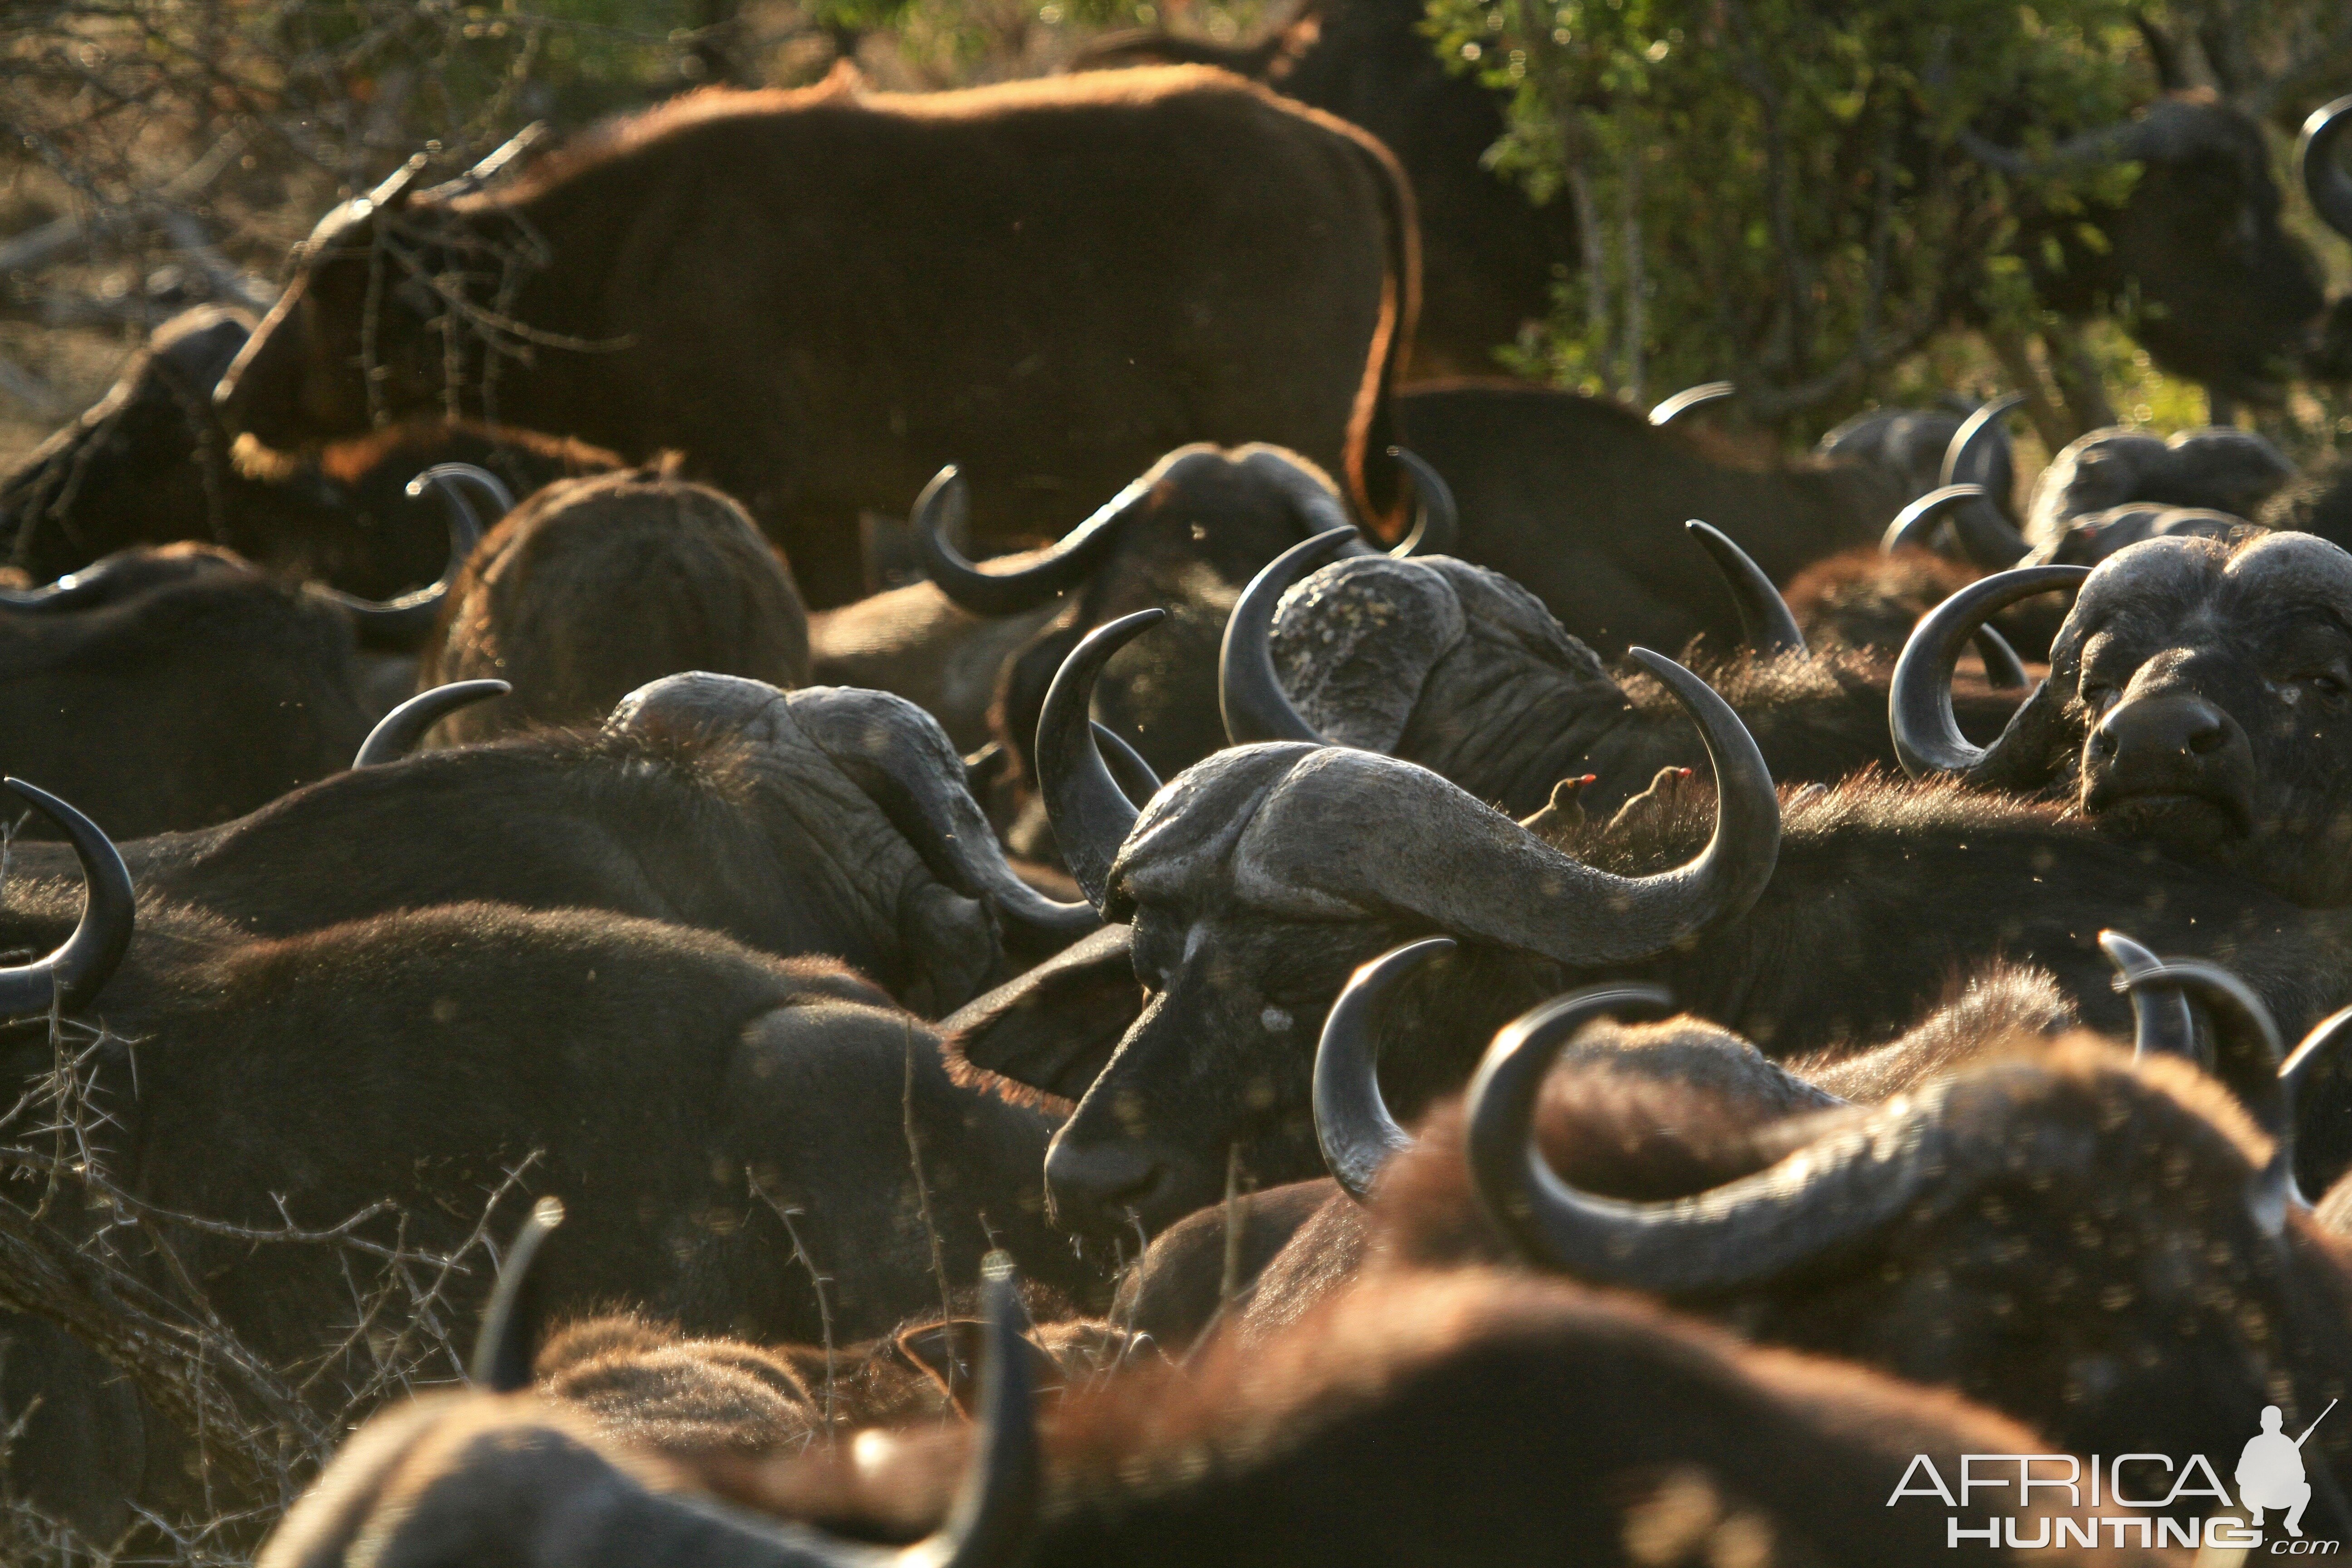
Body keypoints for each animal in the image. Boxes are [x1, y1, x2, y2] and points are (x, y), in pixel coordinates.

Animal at [221, 75, 1421, 611]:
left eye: (330, 286)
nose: (236, 396)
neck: (620, 255)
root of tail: (1333, 141)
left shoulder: (748, 473)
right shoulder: (820, 509)